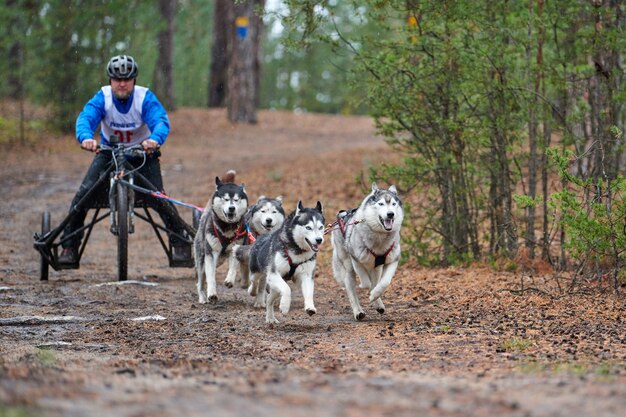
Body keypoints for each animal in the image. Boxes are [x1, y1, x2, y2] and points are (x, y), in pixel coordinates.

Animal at [194, 171, 247, 304]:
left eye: (236, 200)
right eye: (226, 199)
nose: (232, 208)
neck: (227, 228)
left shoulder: (235, 249)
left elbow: (233, 267)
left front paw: (229, 280)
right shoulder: (210, 254)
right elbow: (211, 277)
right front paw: (212, 293)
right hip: (202, 260)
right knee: (200, 281)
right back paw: (202, 298)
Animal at [330, 181, 402, 318]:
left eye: (393, 204)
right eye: (381, 203)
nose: (390, 214)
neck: (379, 237)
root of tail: (341, 216)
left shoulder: (392, 260)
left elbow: (384, 283)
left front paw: (375, 295)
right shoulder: (356, 260)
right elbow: (366, 283)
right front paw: (367, 288)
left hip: (377, 268)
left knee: (375, 281)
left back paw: (378, 304)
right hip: (348, 267)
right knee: (351, 289)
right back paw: (358, 311)